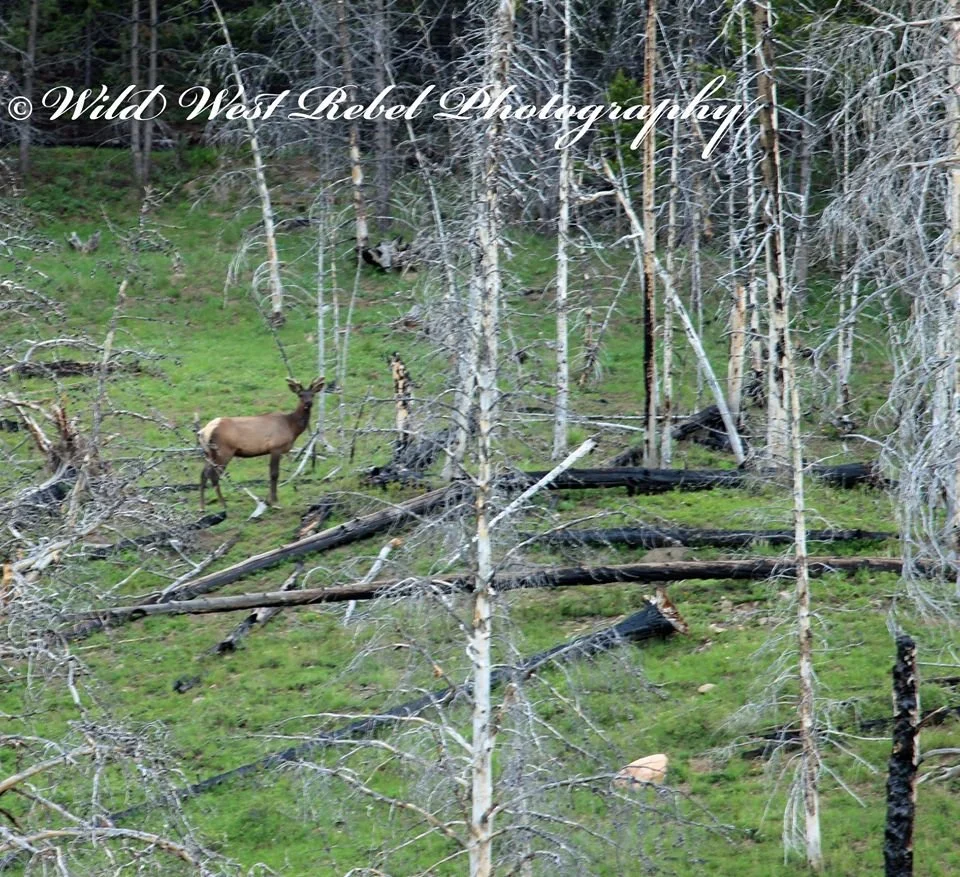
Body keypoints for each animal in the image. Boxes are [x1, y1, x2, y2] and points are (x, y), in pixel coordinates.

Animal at [198, 377, 325, 511]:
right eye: (300, 395)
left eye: (312, 394)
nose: (308, 403)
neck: (291, 426)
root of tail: (204, 431)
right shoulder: (276, 447)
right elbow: (274, 474)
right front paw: (275, 502)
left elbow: (271, 474)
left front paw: (268, 501)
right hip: (224, 451)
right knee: (214, 475)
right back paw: (223, 505)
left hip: (209, 453)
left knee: (204, 473)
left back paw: (202, 506)